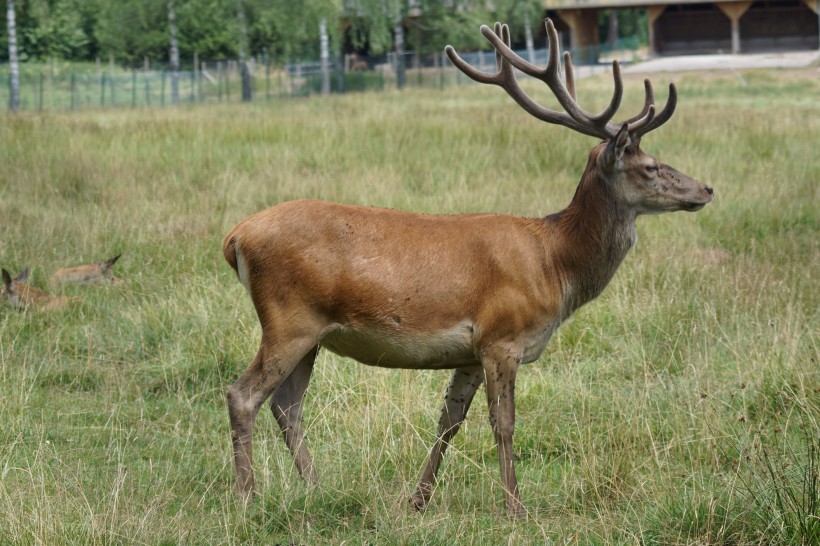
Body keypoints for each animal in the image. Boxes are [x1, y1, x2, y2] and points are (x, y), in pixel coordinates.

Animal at [223, 19, 712, 516]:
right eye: (650, 166)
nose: (706, 189)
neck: (555, 264)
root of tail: (236, 237)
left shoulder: (470, 353)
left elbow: (450, 421)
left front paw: (419, 499)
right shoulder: (502, 336)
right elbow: (503, 423)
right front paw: (515, 507)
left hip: (313, 334)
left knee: (287, 404)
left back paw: (316, 487)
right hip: (289, 319)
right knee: (243, 395)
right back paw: (247, 498)